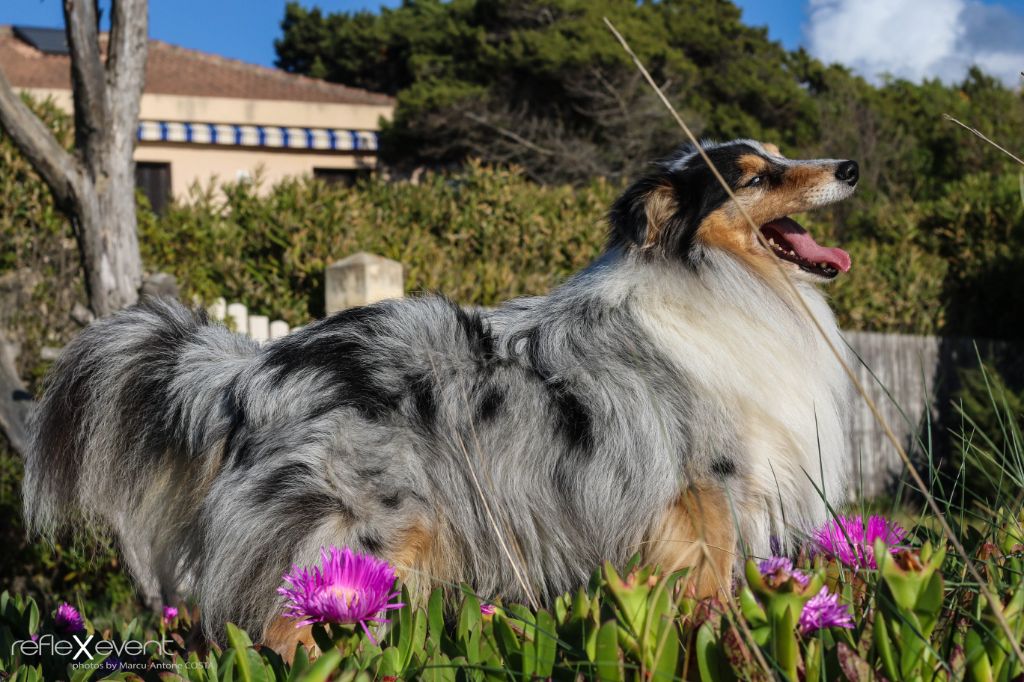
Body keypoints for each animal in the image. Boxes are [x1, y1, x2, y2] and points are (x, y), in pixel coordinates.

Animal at [24, 137, 856, 647]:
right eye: (755, 177)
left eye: (777, 156)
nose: (849, 165)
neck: (719, 283)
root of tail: (248, 372)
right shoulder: (702, 491)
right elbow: (711, 598)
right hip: (361, 532)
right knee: (279, 637)